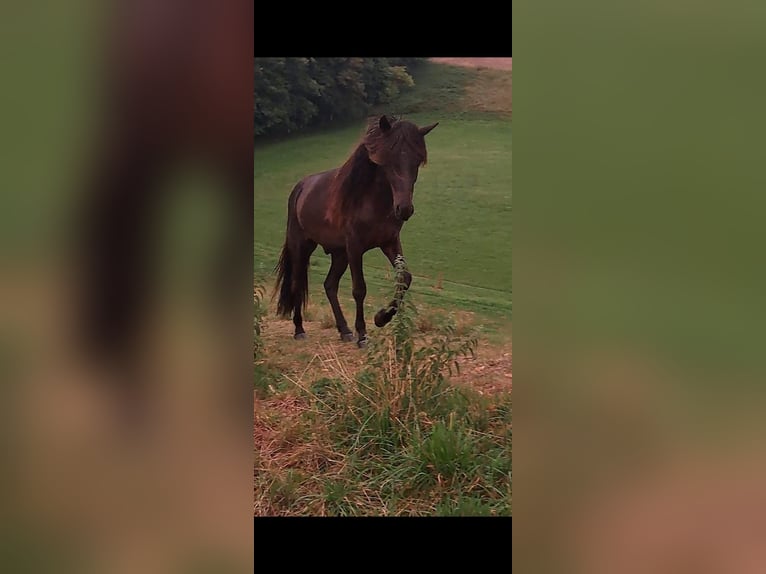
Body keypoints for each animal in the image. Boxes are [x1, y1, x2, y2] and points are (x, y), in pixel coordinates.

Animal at [274, 114, 438, 348]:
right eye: (388, 160)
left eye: (417, 161)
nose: (404, 209)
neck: (371, 200)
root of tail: (301, 187)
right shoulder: (355, 247)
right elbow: (359, 289)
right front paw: (362, 334)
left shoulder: (390, 242)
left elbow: (405, 278)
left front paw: (381, 318)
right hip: (302, 247)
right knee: (298, 283)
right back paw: (299, 329)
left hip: (339, 254)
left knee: (330, 285)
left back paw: (344, 330)